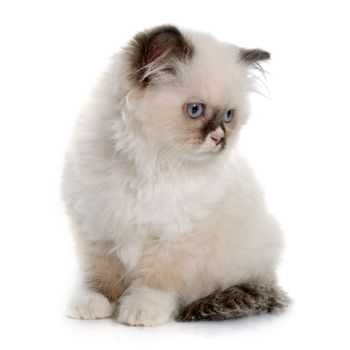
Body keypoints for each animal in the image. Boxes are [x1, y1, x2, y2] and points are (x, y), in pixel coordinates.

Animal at [63, 24, 290, 326]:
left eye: (229, 116)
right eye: (195, 110)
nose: (220, 139)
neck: (150, 165)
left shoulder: (177, 237)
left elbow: (156, 280)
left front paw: (142, 310)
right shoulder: (96, 229)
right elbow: (100, 277)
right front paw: (94, 303)